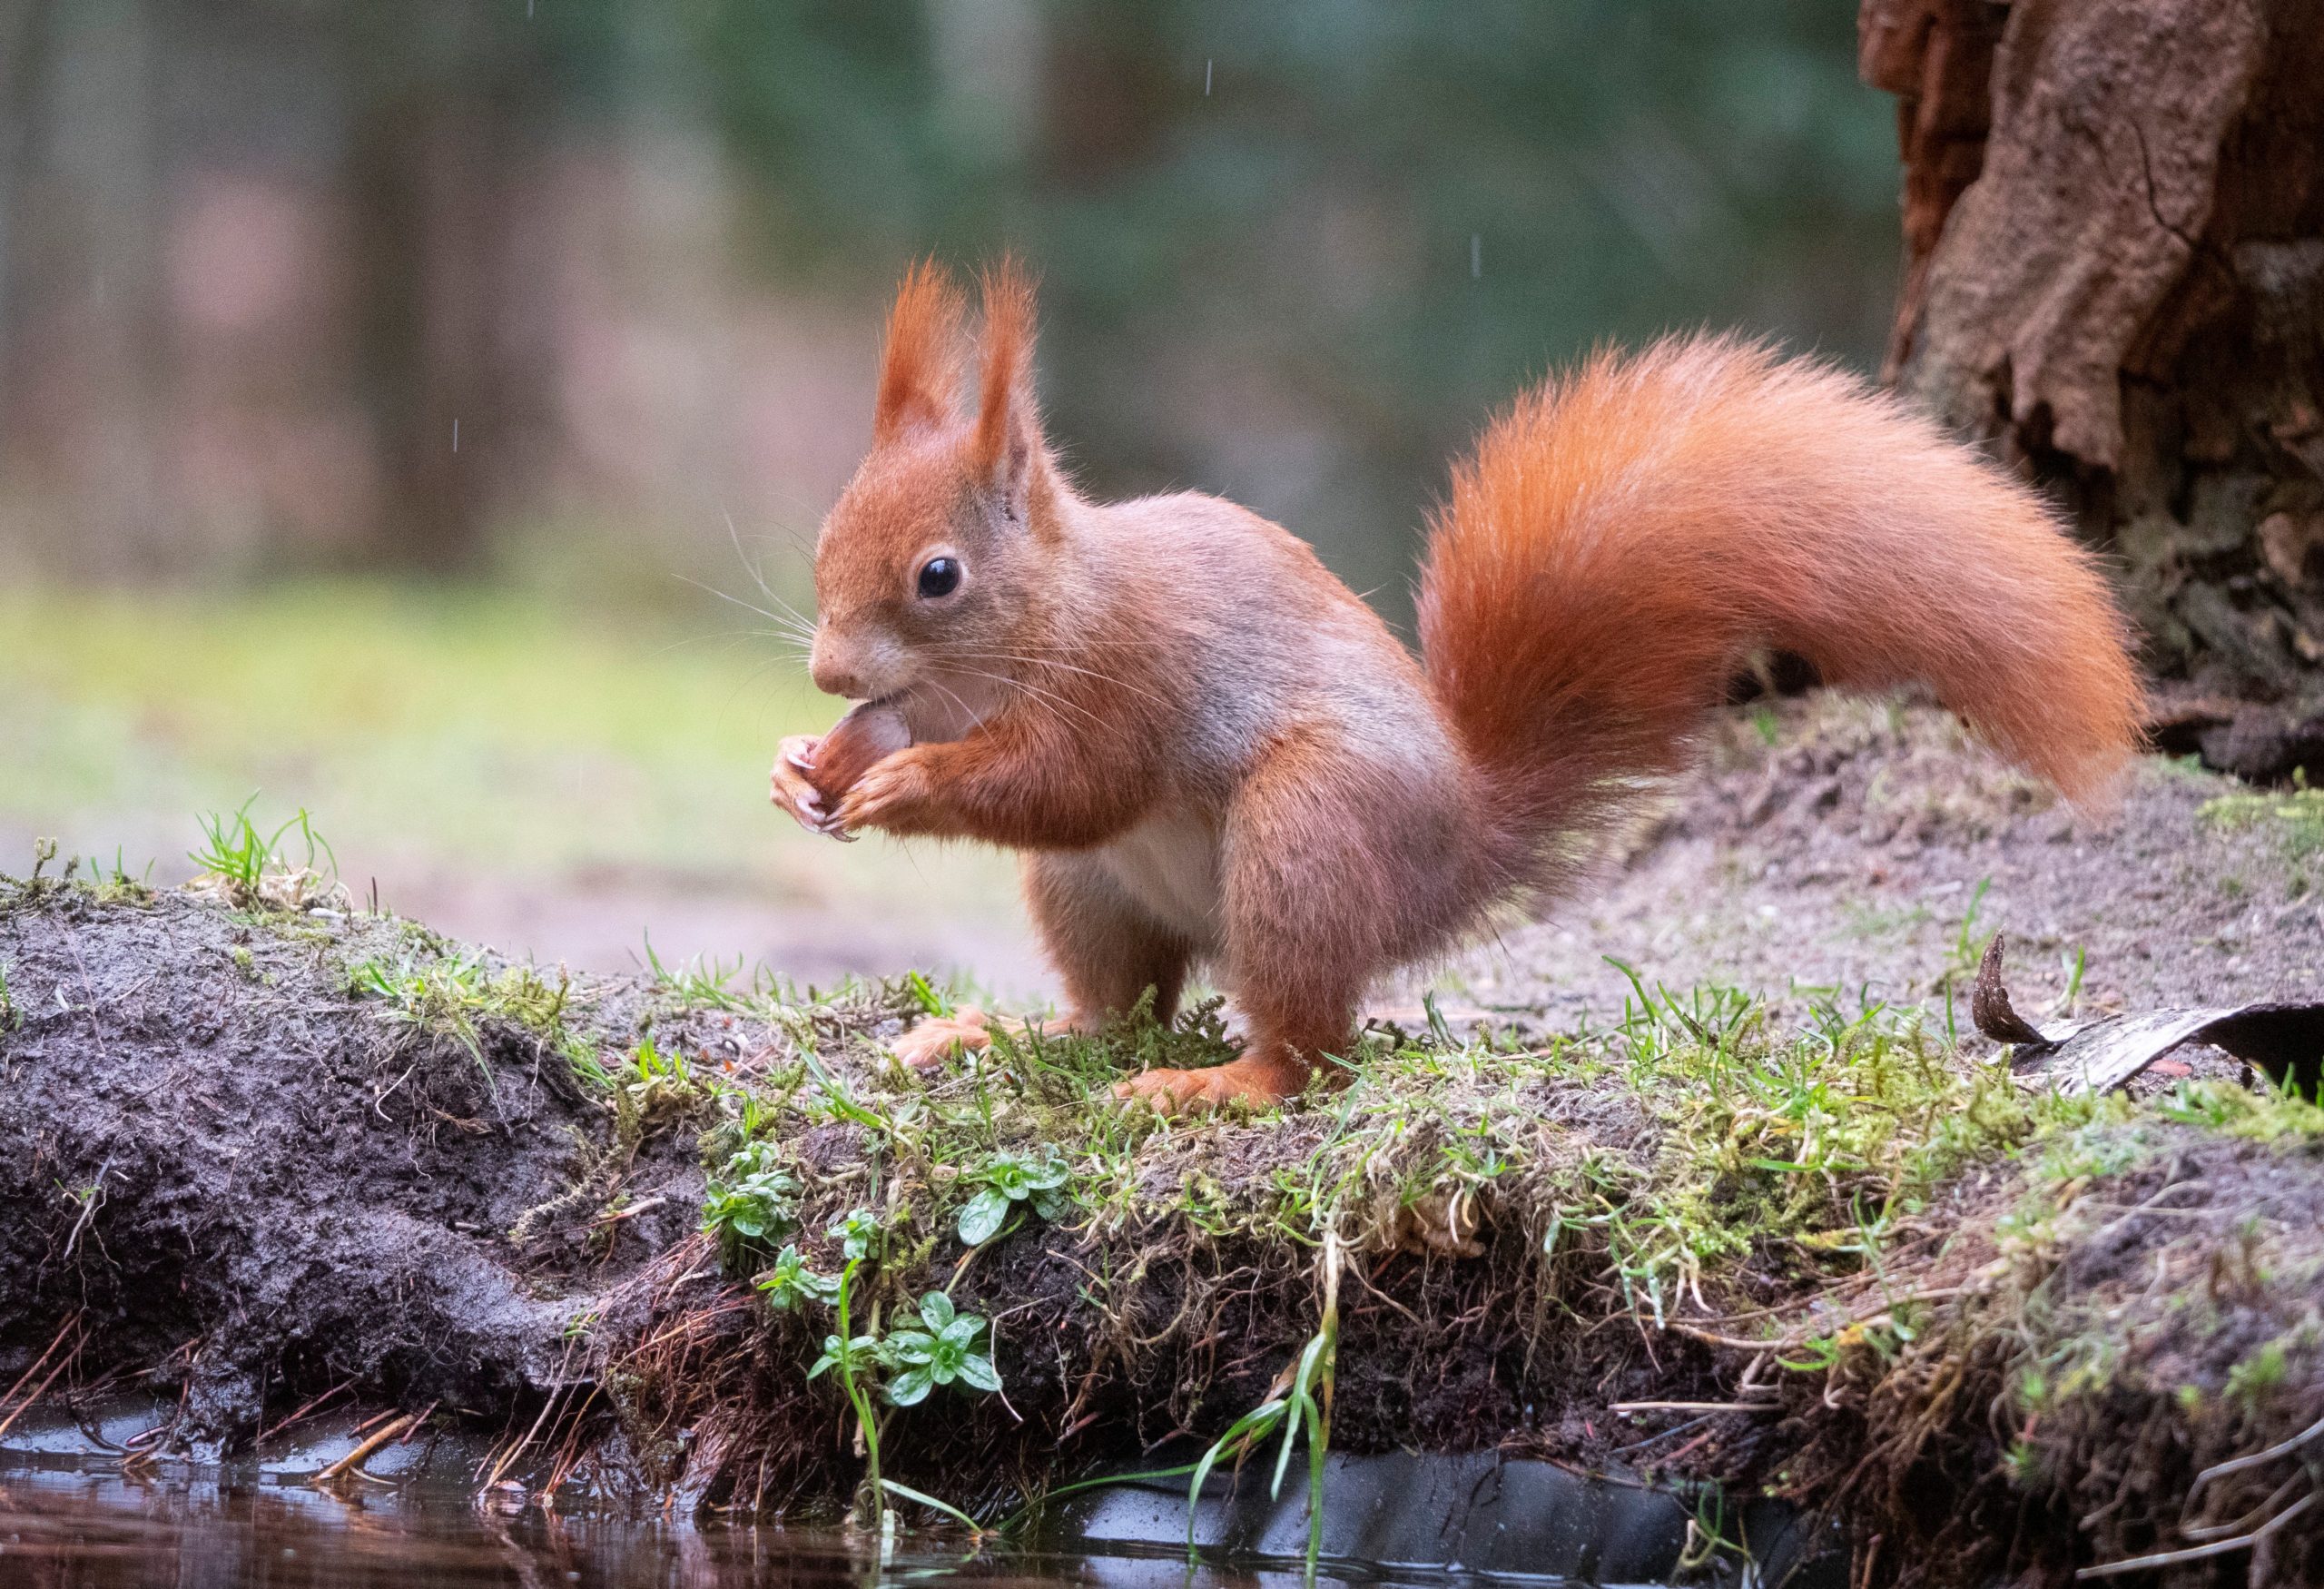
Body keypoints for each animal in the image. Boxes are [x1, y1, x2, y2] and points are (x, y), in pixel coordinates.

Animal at [776, 263, 2138, 1105]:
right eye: (825, 537)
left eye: (938, 576)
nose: (826, 667)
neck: (1036, 623)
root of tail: (1449, 857)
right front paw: (808, 767)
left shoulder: (1132, 673)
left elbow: (1071, 780)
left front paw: (906, 783)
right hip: (1093, 894)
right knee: (1117, 1010)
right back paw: (996, 1029)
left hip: (1305, 832)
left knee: (1306, 1050)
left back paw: (1219, 1083)